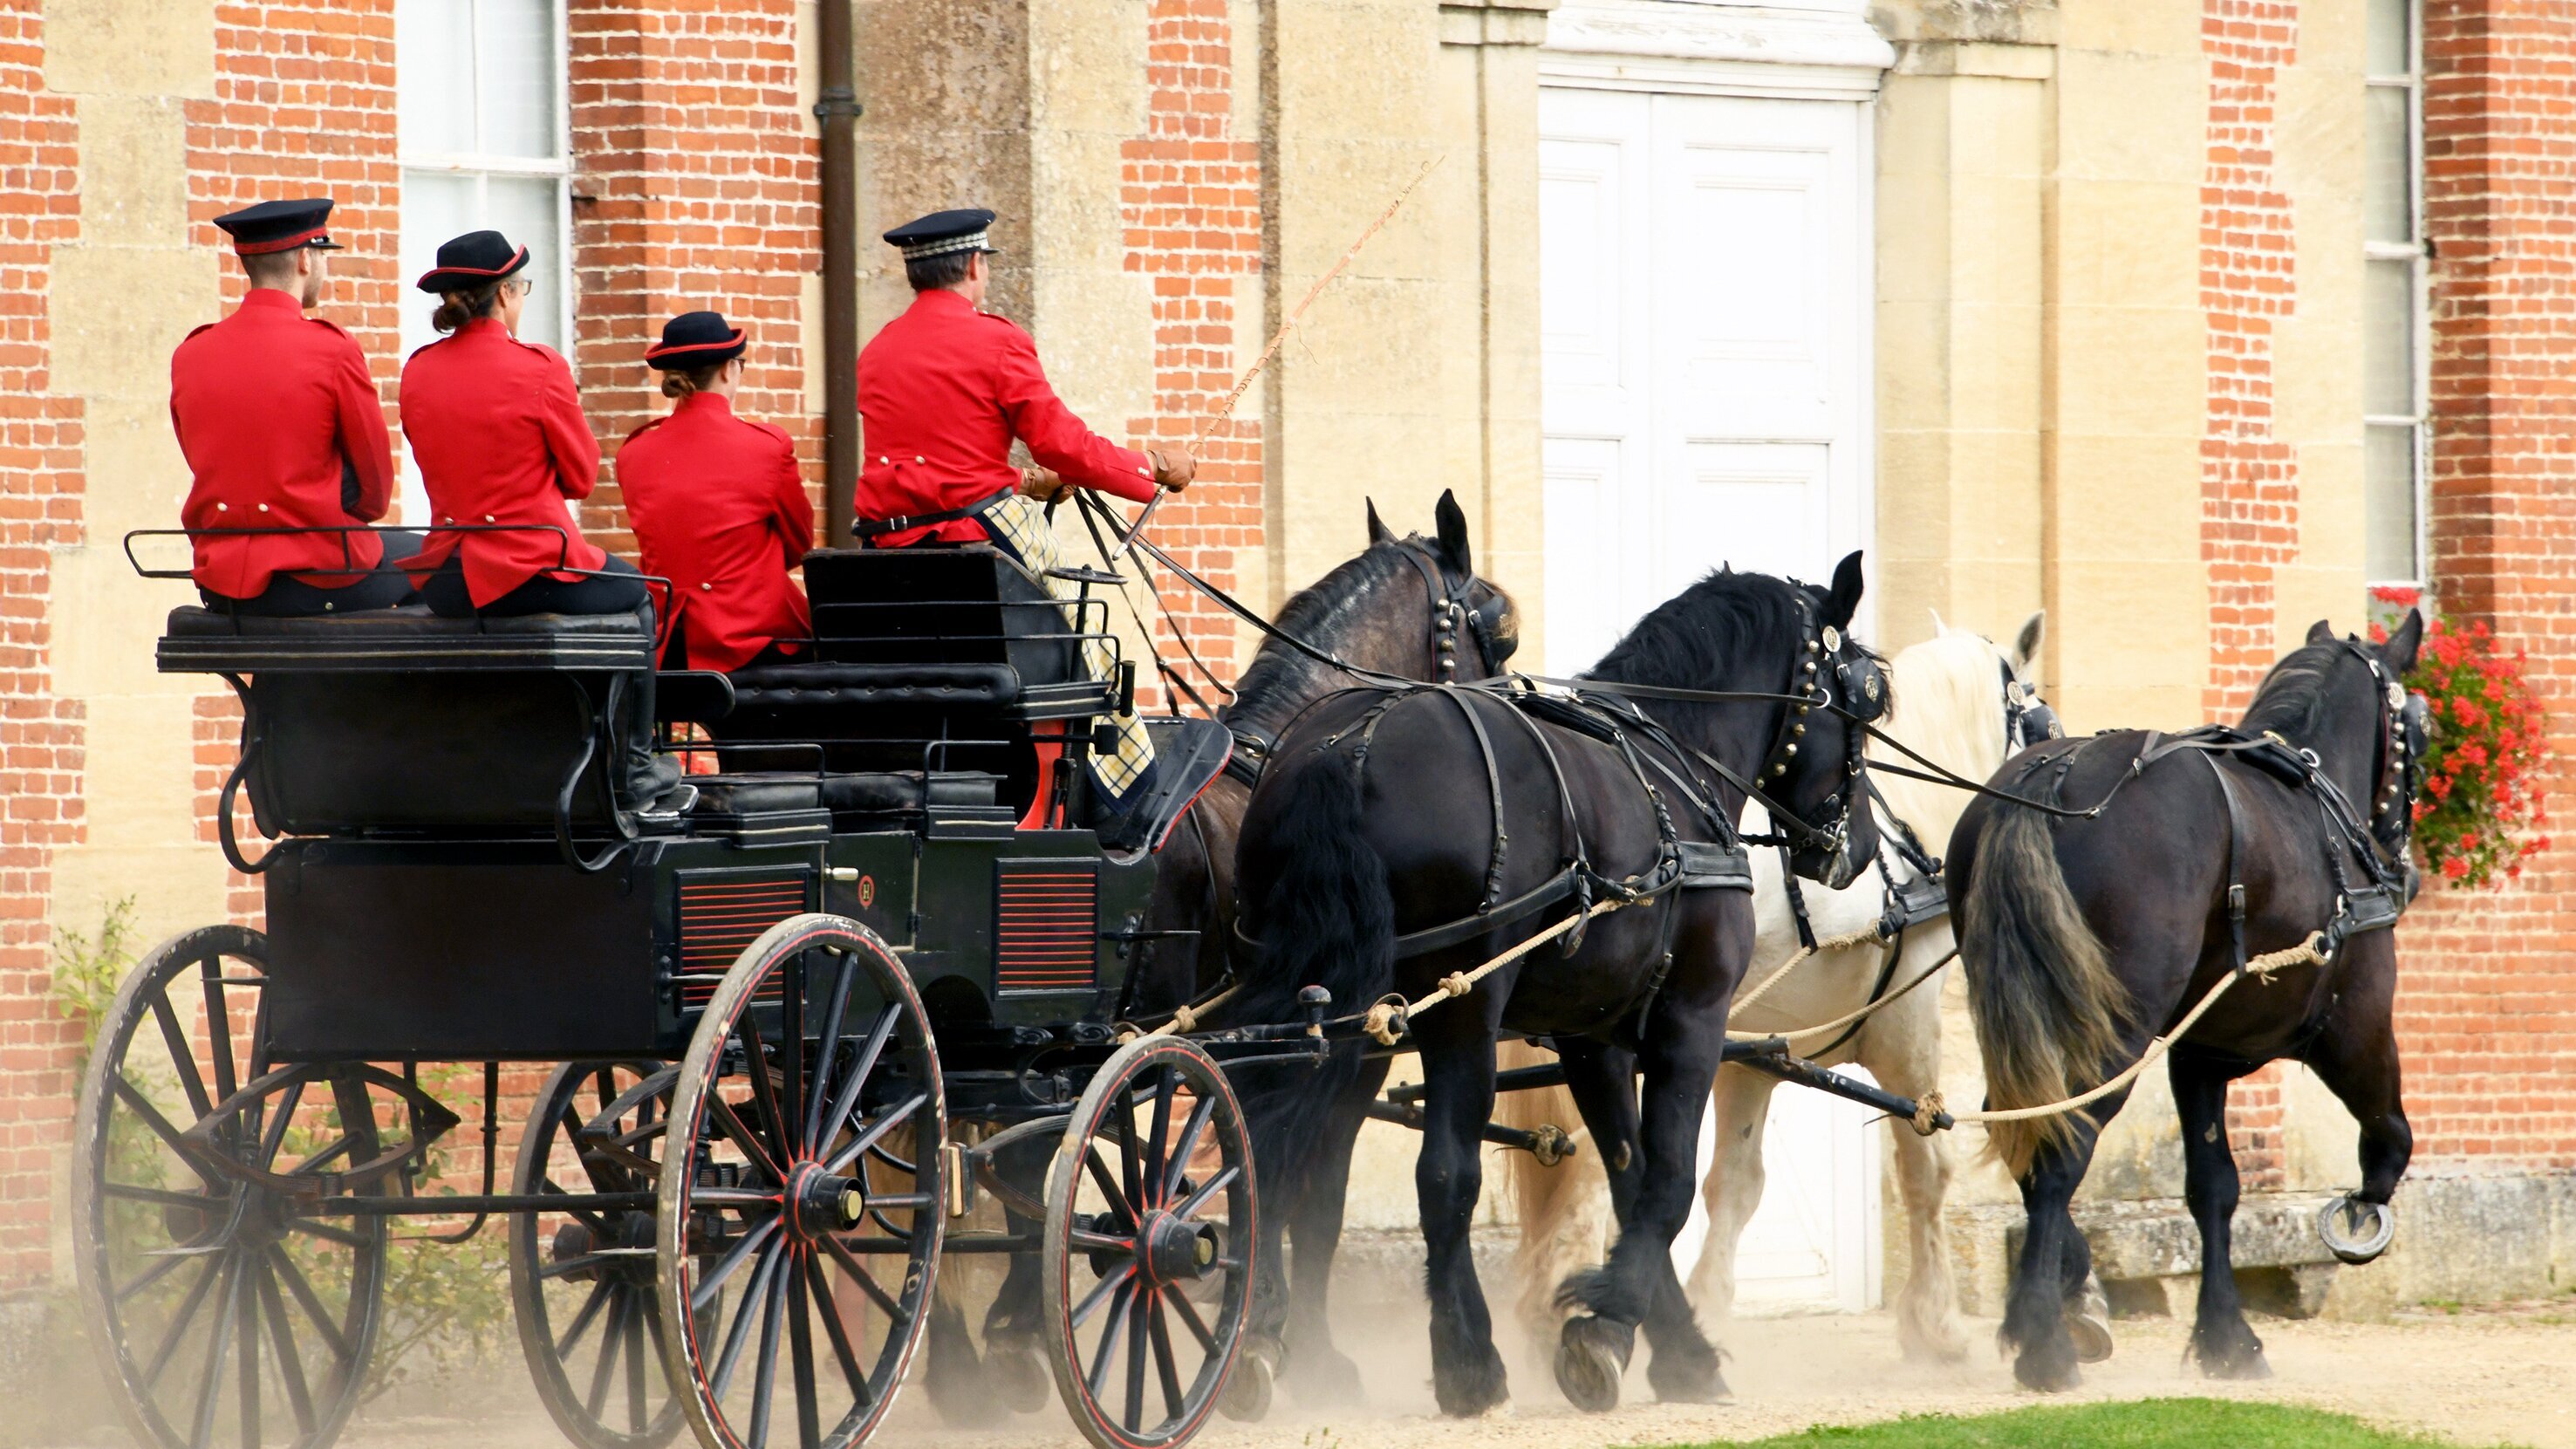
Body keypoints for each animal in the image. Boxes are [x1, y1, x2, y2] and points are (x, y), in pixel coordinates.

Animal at [1215, 551, 1885, 1412]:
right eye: (1863, 698)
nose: (1859, 846)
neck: (1676, 759)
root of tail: (1346, 747)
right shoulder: (1691, 1017)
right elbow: (1668, 1179)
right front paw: (1609, 1327)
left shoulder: (1591, 1037)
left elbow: (1631, 1177)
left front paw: (1666, 1344)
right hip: (1457, 1012)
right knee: (1443, 1172)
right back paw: (1467, 1359)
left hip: (1328, 1010)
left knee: (1269, 1146)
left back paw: (1259, 1340)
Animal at [1504, 608, 2040, 1361]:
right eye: (2037, 714)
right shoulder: (1905, 1026)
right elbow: (1923, 1167)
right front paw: (1935, 1322)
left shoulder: (1751, 1052)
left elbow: (1734, 1183)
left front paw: (1704, 1303)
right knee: (1587, 1173)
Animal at [1958, 608, 2421, 1391]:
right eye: (2417, 727)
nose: (2403, 866)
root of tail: (2054, 775)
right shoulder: (2354, 1027)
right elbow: (2389, 1134)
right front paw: (2360, 1210)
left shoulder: (2198, 1053)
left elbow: (2213, 1186)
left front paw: (2224, 1333)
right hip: (2115, 1034)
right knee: (2063, 1147)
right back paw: (2044, 1338)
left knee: (2024, 1128)